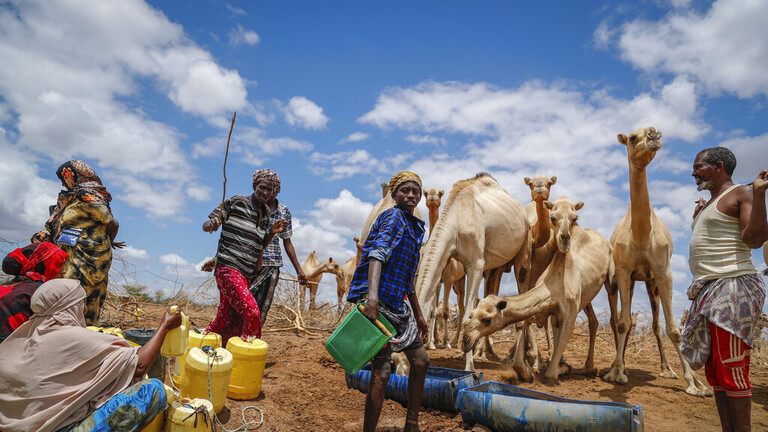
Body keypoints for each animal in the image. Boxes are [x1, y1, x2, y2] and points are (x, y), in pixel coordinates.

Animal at [416, 172, 532, 372]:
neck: (456, 220)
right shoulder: (448, 263)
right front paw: (464, 353)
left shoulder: (475, 263)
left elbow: (466, 318)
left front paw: (469, 367)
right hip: (494, 267)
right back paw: (482, 353)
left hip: (523, 248)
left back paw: (518, 360)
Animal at [462, 197, 612, 380]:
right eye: (471, 315)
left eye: (487, 319)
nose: (466, 340)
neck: (552, 288)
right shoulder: (548, 312)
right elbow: (524, 325)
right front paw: (527, 370)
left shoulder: (569, 316)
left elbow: (551, 373)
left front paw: (558, 366)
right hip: (585, 298)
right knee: (593, 320)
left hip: (610, 280)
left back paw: (592, 368)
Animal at [604, 126, 712, 396]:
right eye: (632, 137)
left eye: (657, 132)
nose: (653, 134)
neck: (641, 235)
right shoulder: (623, 271)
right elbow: (623, 322)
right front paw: (616, 373)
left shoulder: (664, 271)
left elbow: (674, 329)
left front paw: (695, 383)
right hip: (628, 281)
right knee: (622, 320)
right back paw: (619, 365)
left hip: (650, 282)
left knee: (655, 325)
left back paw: (667, 369)